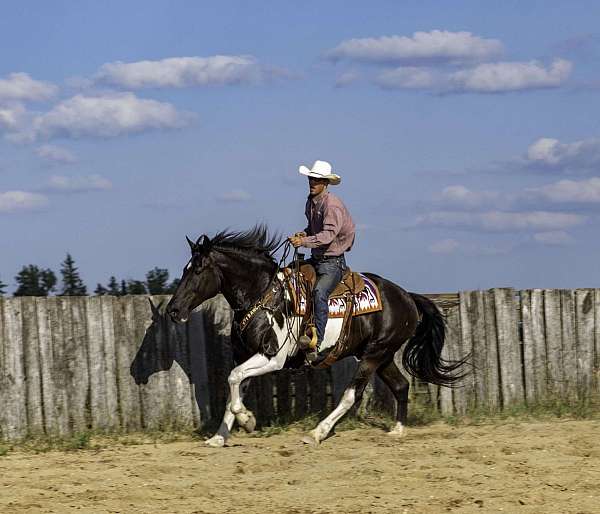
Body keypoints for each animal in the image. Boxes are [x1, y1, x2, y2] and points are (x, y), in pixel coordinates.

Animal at [166, 224, 466, 444]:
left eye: (198, 269)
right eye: (184, 269)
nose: (173, 309)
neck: (263, 295)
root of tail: (407, 297)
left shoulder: (272, 358)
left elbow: (233, 378)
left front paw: (246, 420)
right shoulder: (247, 356)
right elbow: (234, 387)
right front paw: (219, 437)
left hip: (374, 354)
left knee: (351, 395)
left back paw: (318, 432)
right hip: (382, 354)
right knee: (401, 385)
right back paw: (398, 430)